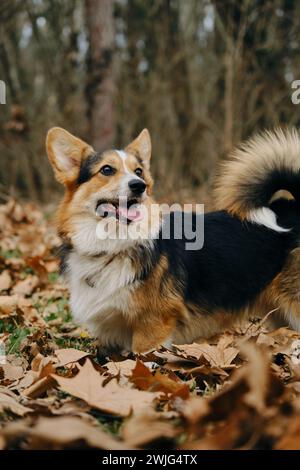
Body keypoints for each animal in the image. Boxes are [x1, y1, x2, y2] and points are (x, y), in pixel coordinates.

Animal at [47, 126, 300, 352]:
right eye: (107, 170)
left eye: (138, 172)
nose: (140, 186)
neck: (113, 246)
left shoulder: (153, 324)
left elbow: (141, 359)